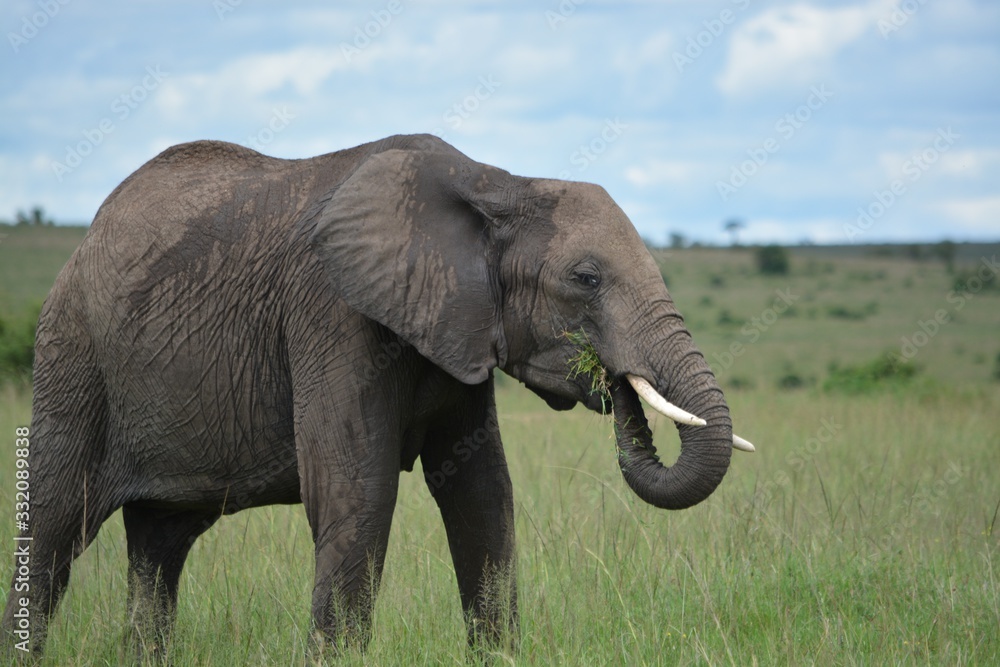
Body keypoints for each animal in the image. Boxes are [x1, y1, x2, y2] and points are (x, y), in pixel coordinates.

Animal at [2, 133, 753, 656]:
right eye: (587, 278)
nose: (613, 382)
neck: (495, 182)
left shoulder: (455, 325)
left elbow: (483, 495)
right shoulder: (333, 313)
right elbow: (356, 491)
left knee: (160, 544)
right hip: (73, 354)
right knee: (55, 521)